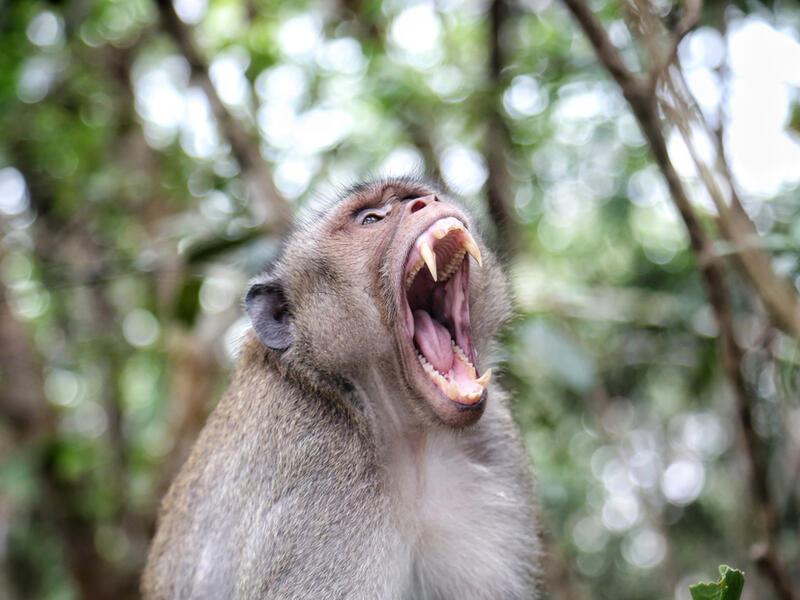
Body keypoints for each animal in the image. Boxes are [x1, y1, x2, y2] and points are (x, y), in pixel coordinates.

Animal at [142, 177, 540, 599]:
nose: (425, 202)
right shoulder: (317, 466)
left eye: (419, 196)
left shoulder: (494, 444)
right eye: (371, 219)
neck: (406, 433)